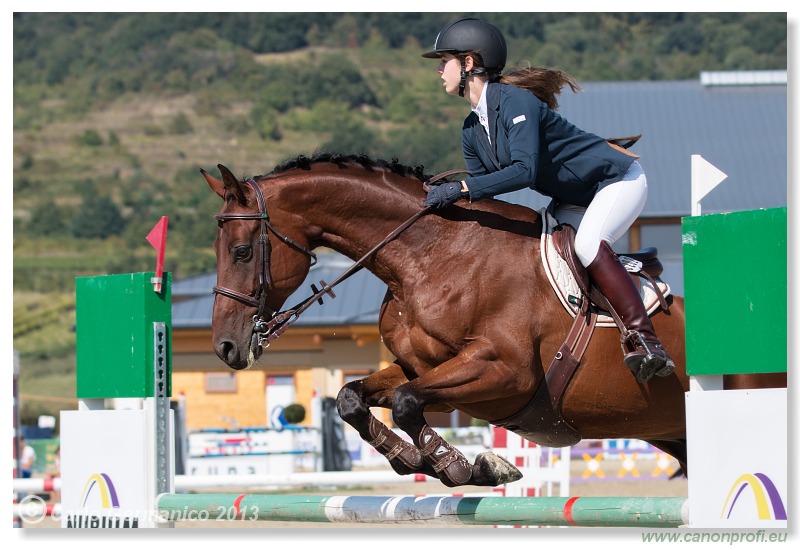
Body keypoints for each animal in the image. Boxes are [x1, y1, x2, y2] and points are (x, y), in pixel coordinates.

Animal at [202, 153, 788, 490]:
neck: (428, 256)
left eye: (241, 250)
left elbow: (407, 402)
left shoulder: (505, 373)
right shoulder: (420, 366)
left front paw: (467, 467)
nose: (227, 348)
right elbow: (354, 398)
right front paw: (415, 462)